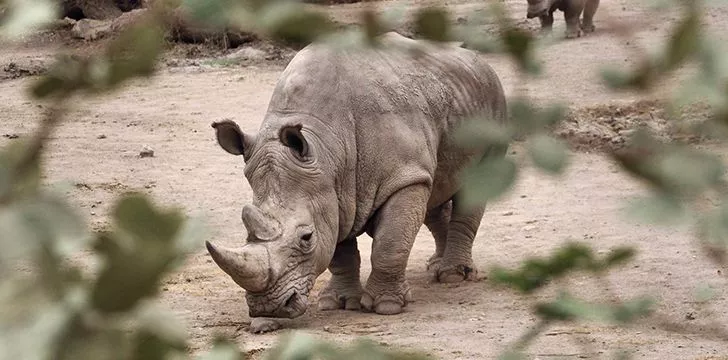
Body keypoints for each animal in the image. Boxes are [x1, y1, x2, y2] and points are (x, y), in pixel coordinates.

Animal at [206, 31, 506, 330]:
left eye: (306, 238)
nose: (268, 307)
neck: (327, 149)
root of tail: (480, 62)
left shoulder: (400, 177)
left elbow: (389, 243)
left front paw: (386, 306)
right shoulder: (331, 192)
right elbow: (340, 253)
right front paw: (338, 303)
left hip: (494, 103)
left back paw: (453, 276)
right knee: (435, 189)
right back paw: (436, 268)